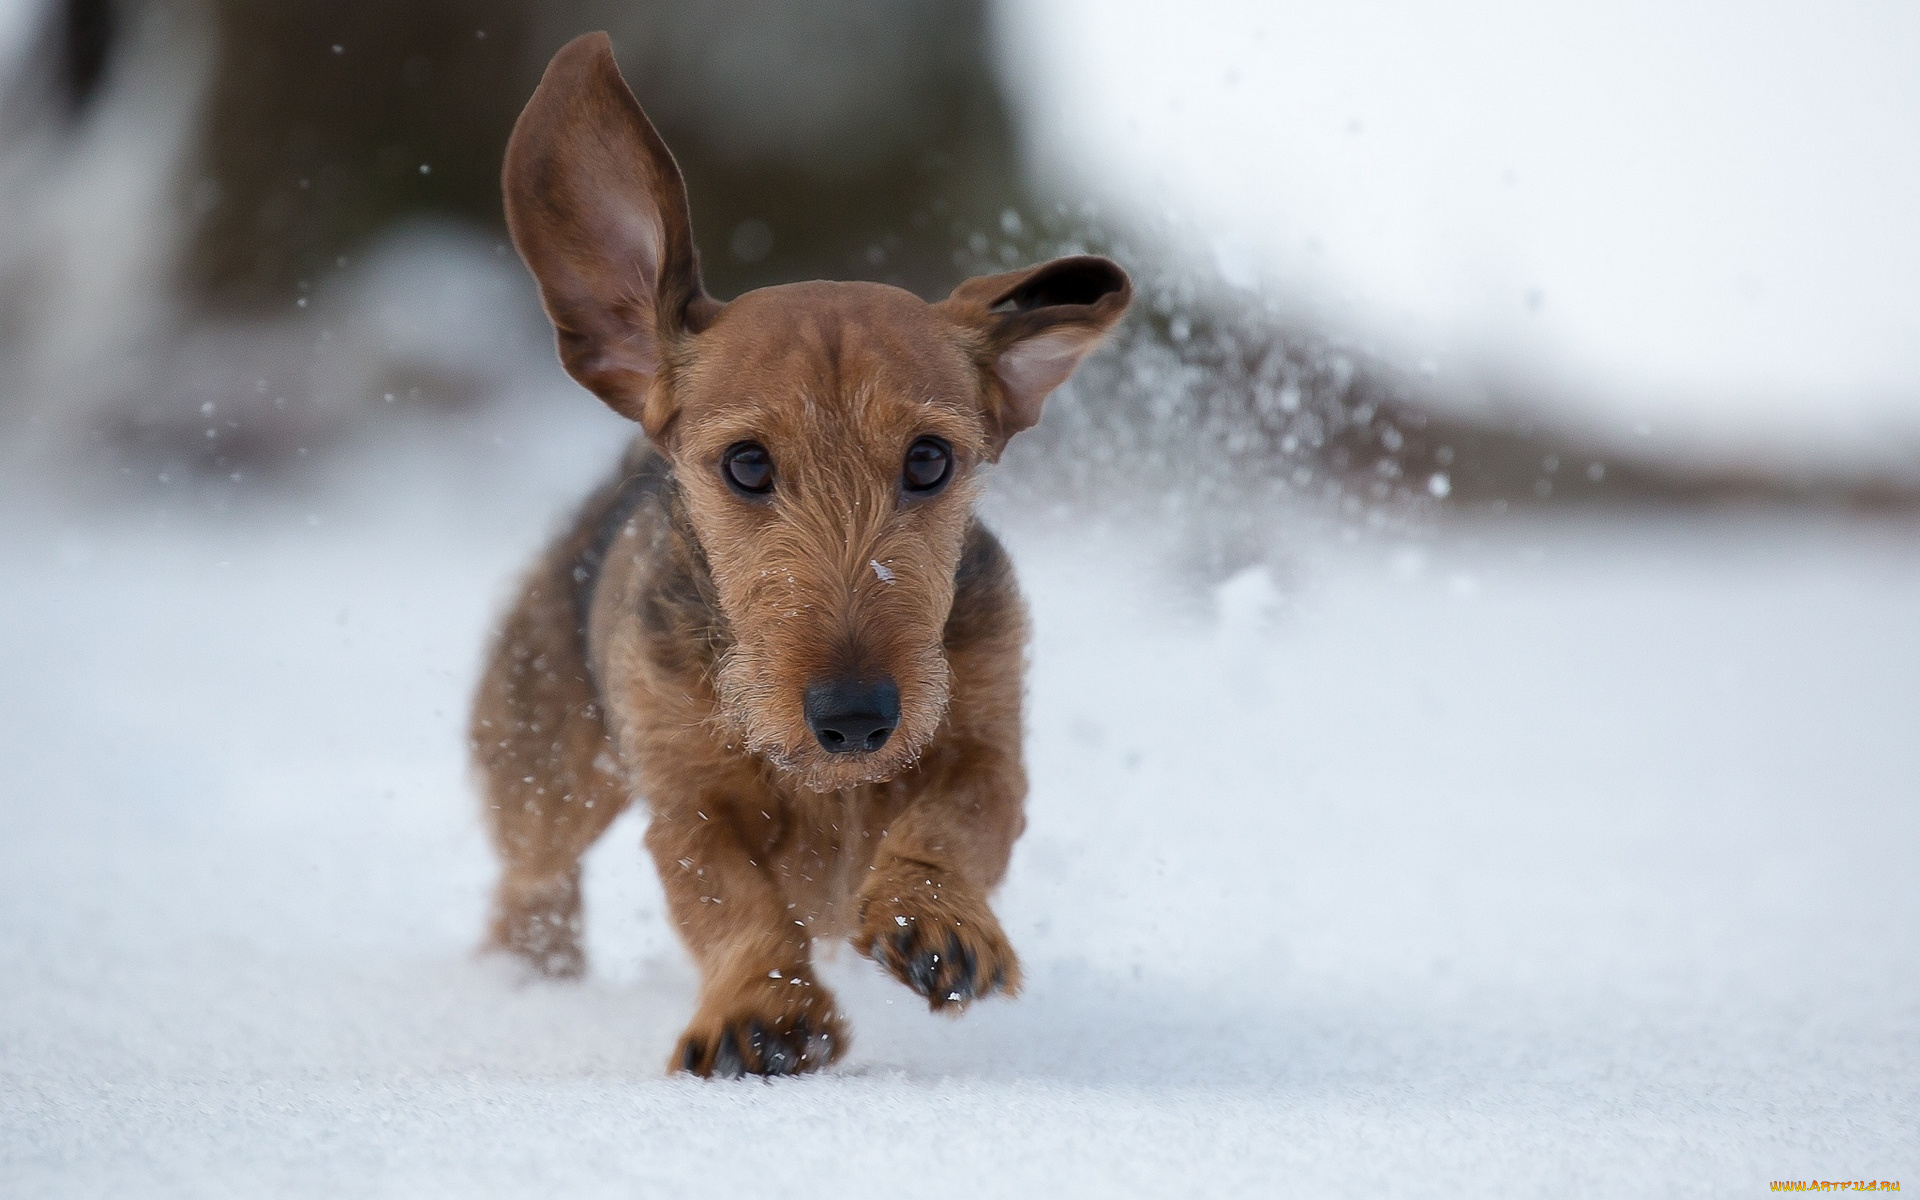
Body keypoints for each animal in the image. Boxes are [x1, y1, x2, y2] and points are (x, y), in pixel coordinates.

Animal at [474, 32, 1128, 1075]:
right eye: (746, 464)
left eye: (930, 459)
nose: (855, 718)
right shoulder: (689, 802)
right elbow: (727, 897)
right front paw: (761, 1008)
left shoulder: (987, 744)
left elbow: (956, 821)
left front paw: (934, 917)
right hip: (545, 774)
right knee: (529, 881)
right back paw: (526, 980)